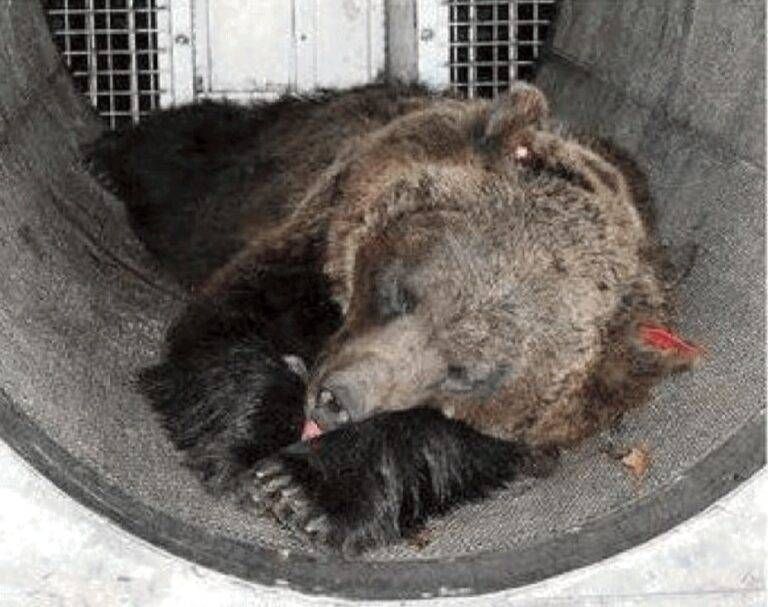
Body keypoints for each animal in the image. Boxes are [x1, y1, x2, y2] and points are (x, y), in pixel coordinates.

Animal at [90, 82, 700, 555]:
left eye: (463, 371)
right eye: (402, 292)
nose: (336, 401)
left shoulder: (568, 406)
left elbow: (451, 444)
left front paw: (301, 489)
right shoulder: (310, 243)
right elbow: (225, 329)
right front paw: (251, 448)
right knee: (191, 157)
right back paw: (108, 153)